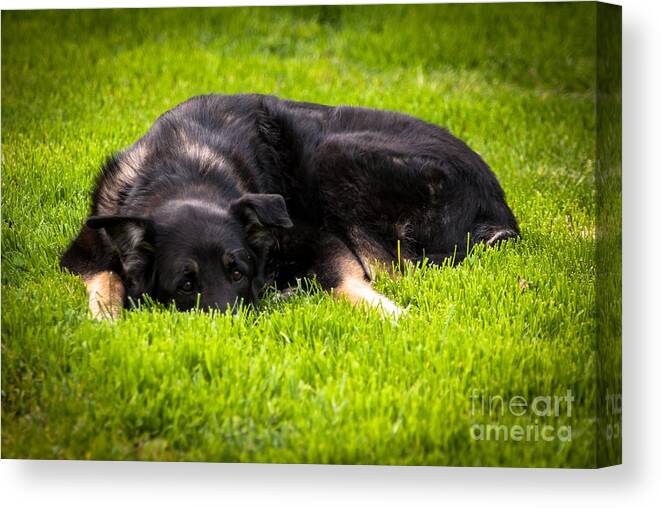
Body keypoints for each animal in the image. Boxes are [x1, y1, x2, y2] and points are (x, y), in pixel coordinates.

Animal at [59, 93, 520, 320]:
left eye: (238, 272)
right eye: (186, 285)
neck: (183, 170)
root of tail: (498, 210)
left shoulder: (316, 236)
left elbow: (349, 283)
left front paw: (399, 318)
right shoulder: (82, 252)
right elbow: (105, 279)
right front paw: (107, 321)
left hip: (335, 154)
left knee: (392, 272)